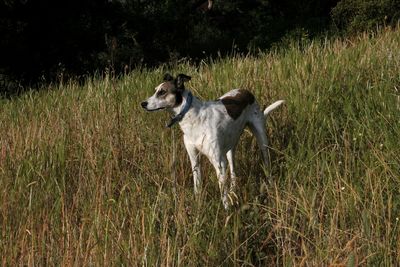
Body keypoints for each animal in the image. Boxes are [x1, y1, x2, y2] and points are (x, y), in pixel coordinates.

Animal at [141, 74, 284, 210]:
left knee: (266, 162)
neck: (194, 118)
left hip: (261, 139)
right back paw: (233, 190)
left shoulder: (218, 162)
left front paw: (227, 210)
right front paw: (198, 205)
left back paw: (270, 184)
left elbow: (222, 192)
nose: (143, 103)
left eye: (162, 92)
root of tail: (245, 91)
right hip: (229, 149)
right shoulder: (194, 159)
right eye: (155, 90)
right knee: (233, 172)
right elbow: (197, 185)